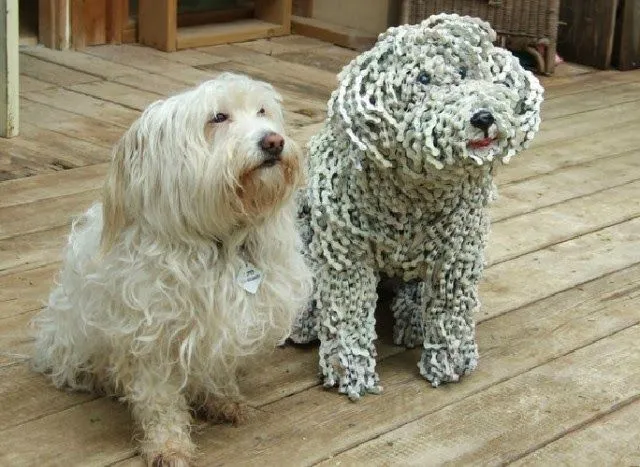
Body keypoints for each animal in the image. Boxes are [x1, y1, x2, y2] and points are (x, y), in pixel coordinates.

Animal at [32, 73, 312, 467]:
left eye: (262, 111)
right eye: (218, 117)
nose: (274, 141)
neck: (222, 241)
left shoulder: (223, 328)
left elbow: (217, 369)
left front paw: (222, 400)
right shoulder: (151, 336)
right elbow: (159, 399)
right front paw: (168, 445)